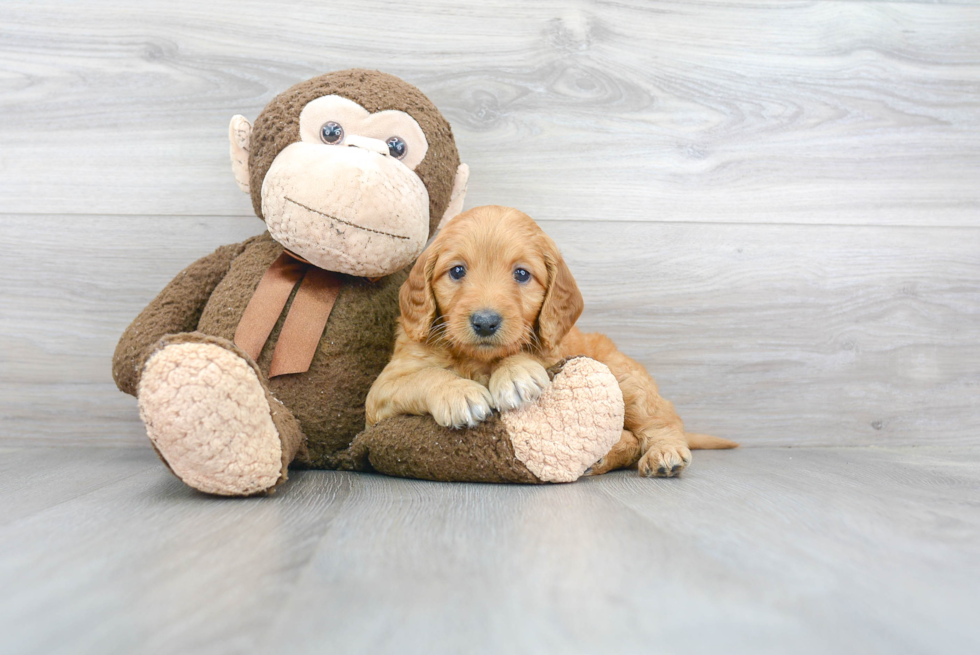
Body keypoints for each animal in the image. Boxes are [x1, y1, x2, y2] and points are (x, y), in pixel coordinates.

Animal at [368, 205, 736, 476]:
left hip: (628, 381)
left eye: (521, 274)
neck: (478, 360)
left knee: (662, 420)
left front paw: (514, 373)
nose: (485, 322)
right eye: (457, 271)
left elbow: (530, 357)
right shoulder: (380, 395)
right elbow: (426, 376)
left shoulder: (554, 351)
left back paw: (664, 452)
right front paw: (459, 393)